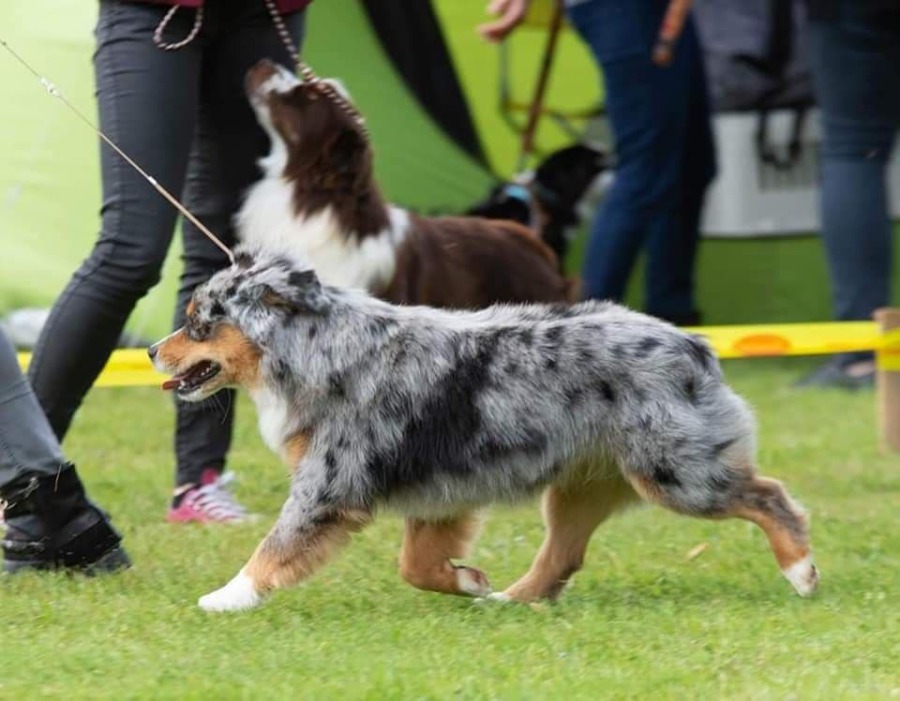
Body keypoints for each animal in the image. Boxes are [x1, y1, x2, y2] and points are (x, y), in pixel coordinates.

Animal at [149, 248, 818, 613]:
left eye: (199, 323)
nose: (153, 350)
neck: (313, 348)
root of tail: (693, 342)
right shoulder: (439, 493)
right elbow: (415, 565)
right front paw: (469, 581)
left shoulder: (328, 484)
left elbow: (275, 547)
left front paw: (227, 597)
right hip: (581, 487)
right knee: (563, 553)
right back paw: (510, 600)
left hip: (676, 472)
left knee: (771, 496)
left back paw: (801, 572)